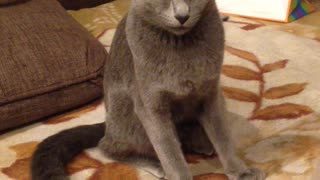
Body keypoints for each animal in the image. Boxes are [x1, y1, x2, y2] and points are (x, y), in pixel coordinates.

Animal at [31, 0, 264, 180]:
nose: (182, 15)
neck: (182, 45)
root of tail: (107, 123)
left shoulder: (211, 94)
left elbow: (223, 137)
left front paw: (241, 172)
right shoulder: (151, 105)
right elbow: (169, 151)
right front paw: (176, 171)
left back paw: (202, 144)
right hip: (127, 110)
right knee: (107, 146)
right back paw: (156, 164)